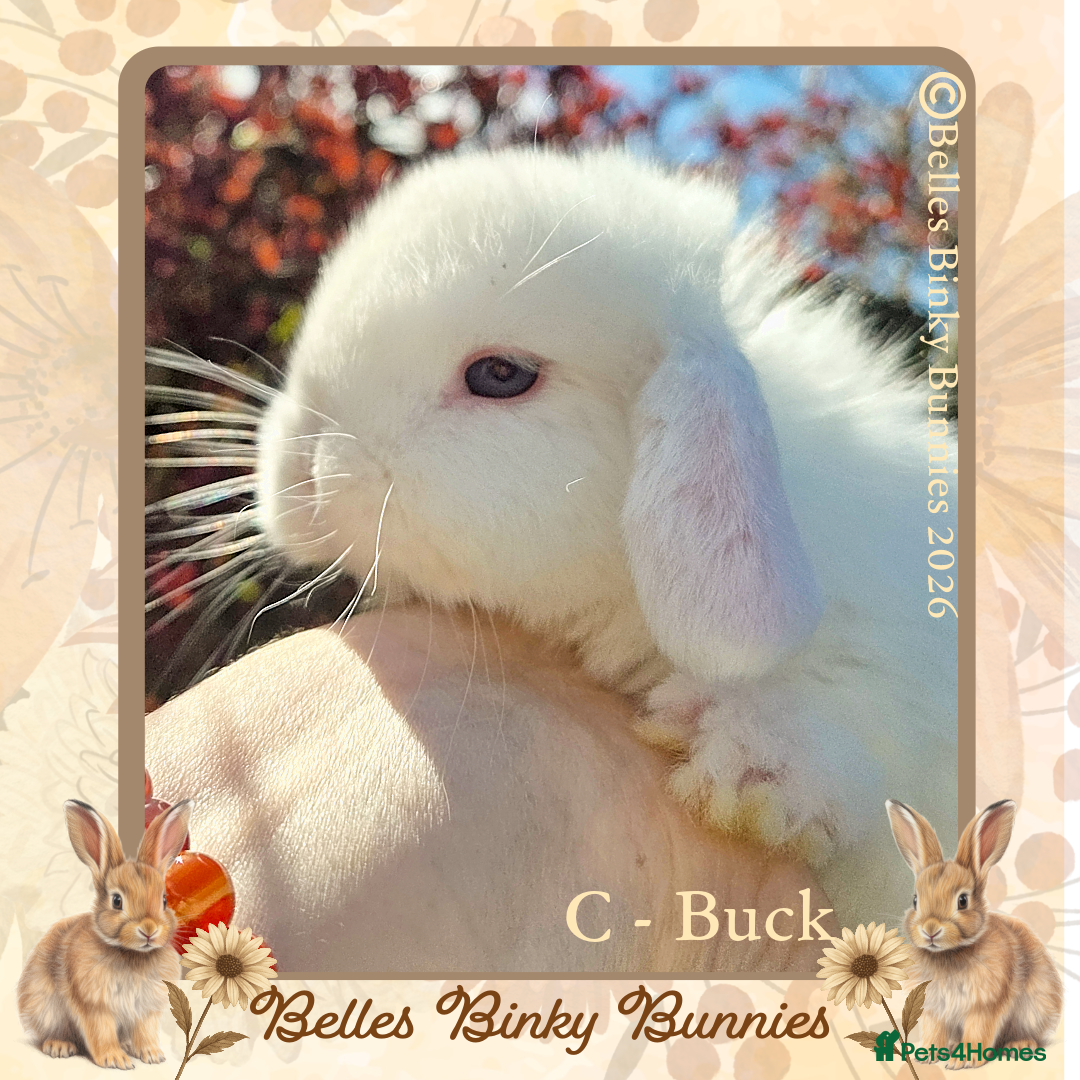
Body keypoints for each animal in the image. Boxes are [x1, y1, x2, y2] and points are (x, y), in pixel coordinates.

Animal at [17, 799, 193, 1069]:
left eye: (164, 900)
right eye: (117, 901)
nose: (149, 930)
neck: (131, 954)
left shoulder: (145, 1009)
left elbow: (145, 1031)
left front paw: (152, 1055)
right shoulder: (95, 1005)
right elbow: (101, 1032)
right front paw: (115, 1060)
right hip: (46, 1008)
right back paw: (59, 1046)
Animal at [886, 799, 1063, 1066]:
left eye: (962, 901)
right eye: (915, 900)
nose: (930, 930)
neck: (949, 954)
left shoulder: (984, 1005)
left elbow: (978, 1030)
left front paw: (963, 1060)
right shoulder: (935, 1009)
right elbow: (934, 1031)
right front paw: (926, 1055)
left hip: (1033, 1009)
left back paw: (1019, 1045)